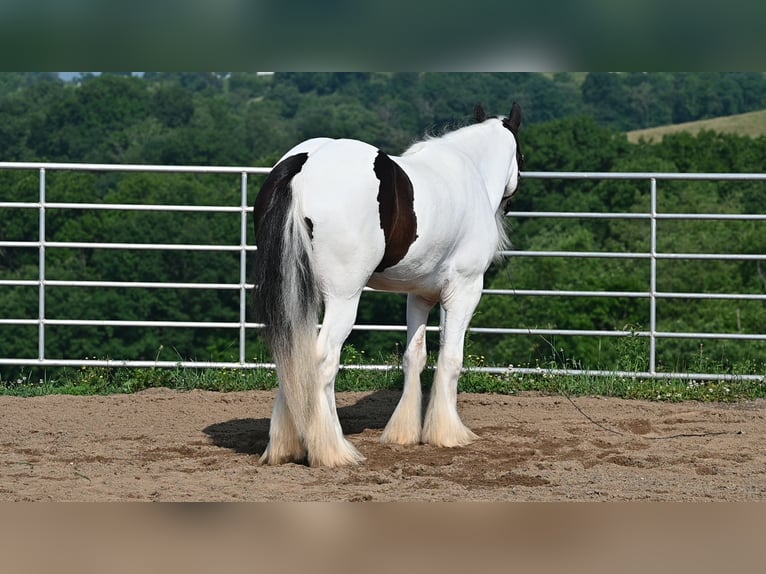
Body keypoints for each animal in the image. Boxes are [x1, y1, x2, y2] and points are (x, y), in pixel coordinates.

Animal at [252, 102, 523, 467]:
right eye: (521, 153)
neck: (470, 172)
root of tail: (303, 165)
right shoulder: (465, 290)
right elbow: (451, 358)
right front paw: (448, 434)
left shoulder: (419, 295)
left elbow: (415, 356)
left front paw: (404, 434)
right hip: (343, 297)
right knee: (322, 359)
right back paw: (334, 450)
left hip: (298, 294)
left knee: (294, 354)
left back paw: (287, 445)